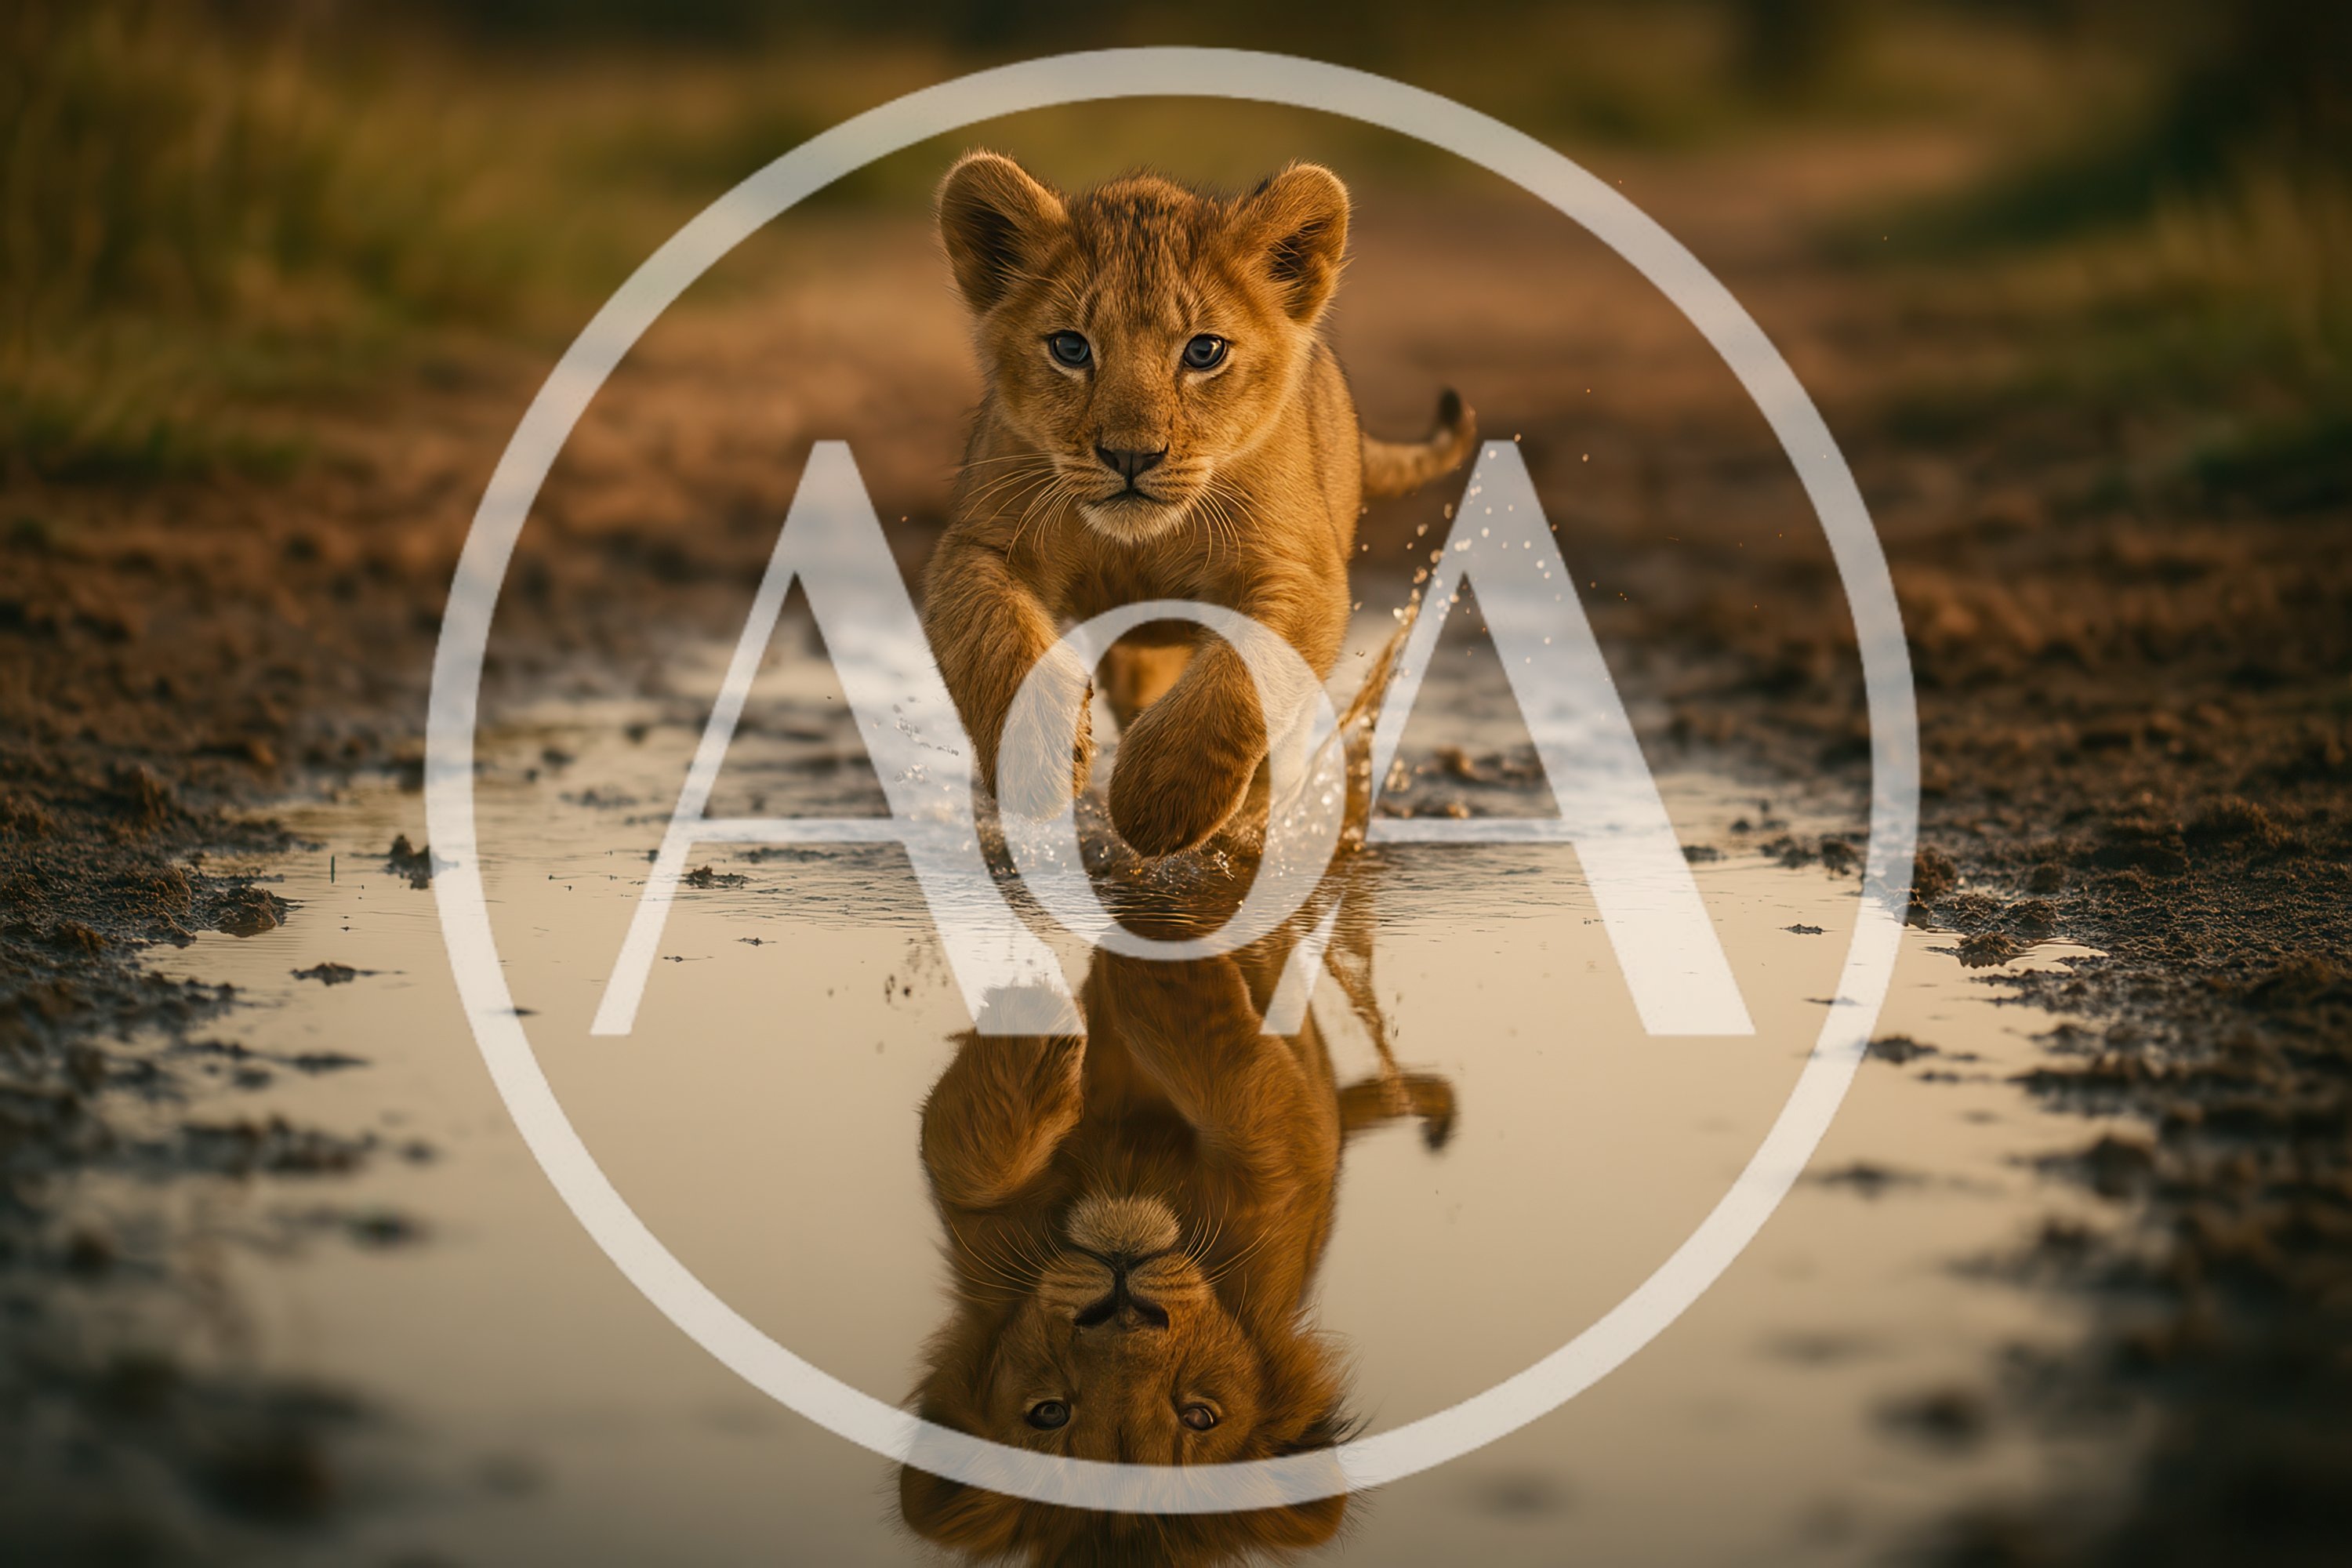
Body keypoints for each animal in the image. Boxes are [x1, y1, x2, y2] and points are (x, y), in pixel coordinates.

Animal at [897, 875, 1455, 1566]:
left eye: (1198, 1415)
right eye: (1049, 1413)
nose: (1123, 1312)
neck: (1129, 1179)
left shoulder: (1282, 1168)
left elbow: (1228, 1069)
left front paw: (1160, 921)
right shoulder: (981, 1242)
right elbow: (963, 1151)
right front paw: (1038, 1018)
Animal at [921, 150, 1475, 858]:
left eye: (1203, 352)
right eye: (1071, 348)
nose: (1130, 457)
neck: (1145, 542)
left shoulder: (1299, 574)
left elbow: (1243, 673)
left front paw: (1163, 800)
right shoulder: (979, 546)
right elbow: (991, 635)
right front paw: (1036, 767)